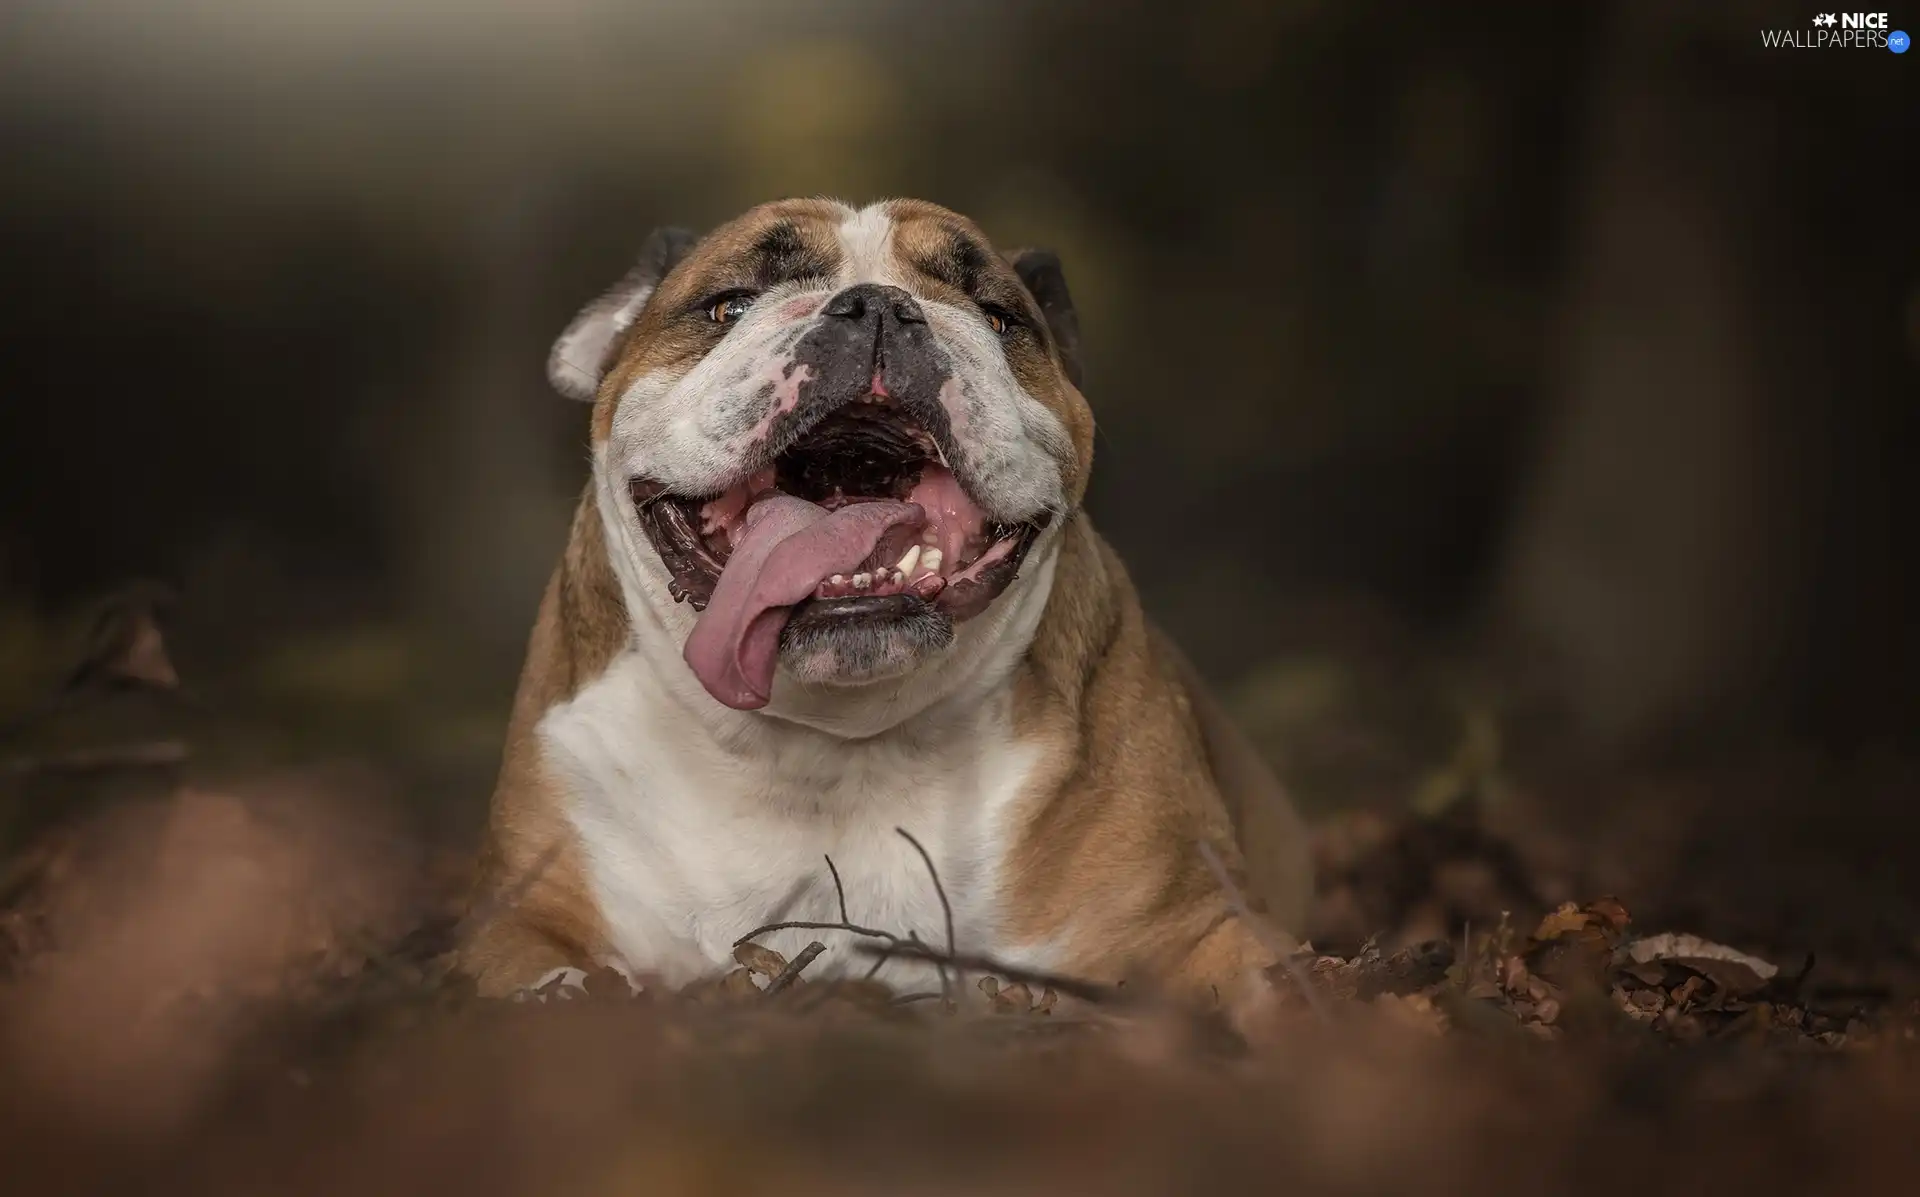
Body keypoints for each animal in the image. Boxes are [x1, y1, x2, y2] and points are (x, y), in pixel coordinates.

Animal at [456, 198, 1313, 1022]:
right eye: (730, 304)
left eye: (998, 316)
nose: (876, 304)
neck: (829, 747)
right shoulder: (517, 915)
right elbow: (542, 974)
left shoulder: (1201, 924)